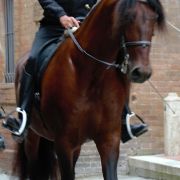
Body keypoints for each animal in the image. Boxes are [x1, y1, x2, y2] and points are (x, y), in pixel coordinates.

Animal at [13, 0, 165, 180]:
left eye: (154, 18)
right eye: (127, 16)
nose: (142, 72)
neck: (92, 74)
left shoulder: (109, 139)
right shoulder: (64, 143)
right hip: (33, 137)